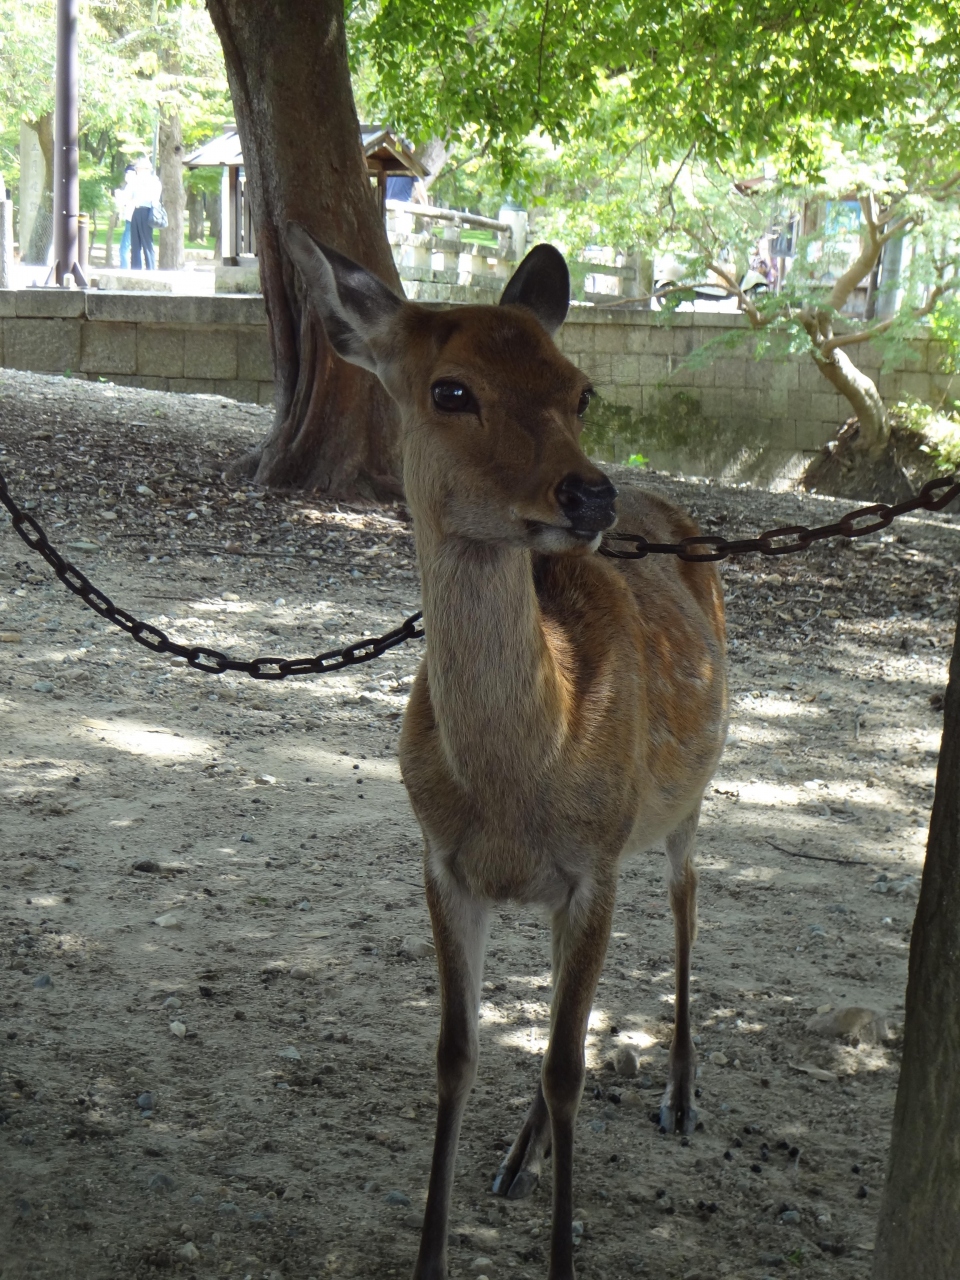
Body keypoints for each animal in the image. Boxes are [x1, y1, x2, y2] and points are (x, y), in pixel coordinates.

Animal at [285, 223, 728, 1280]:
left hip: (686, 803)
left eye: (581, 389)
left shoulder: (594, 868)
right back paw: (516, 1162)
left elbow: (568, 1069)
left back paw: (681, 1095)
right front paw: (433, 1253)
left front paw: (563, 1253)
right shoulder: (447, 865)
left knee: (688, 906)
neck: (522, 776)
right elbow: (460, 1052)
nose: (590, 493)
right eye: (452, 390)